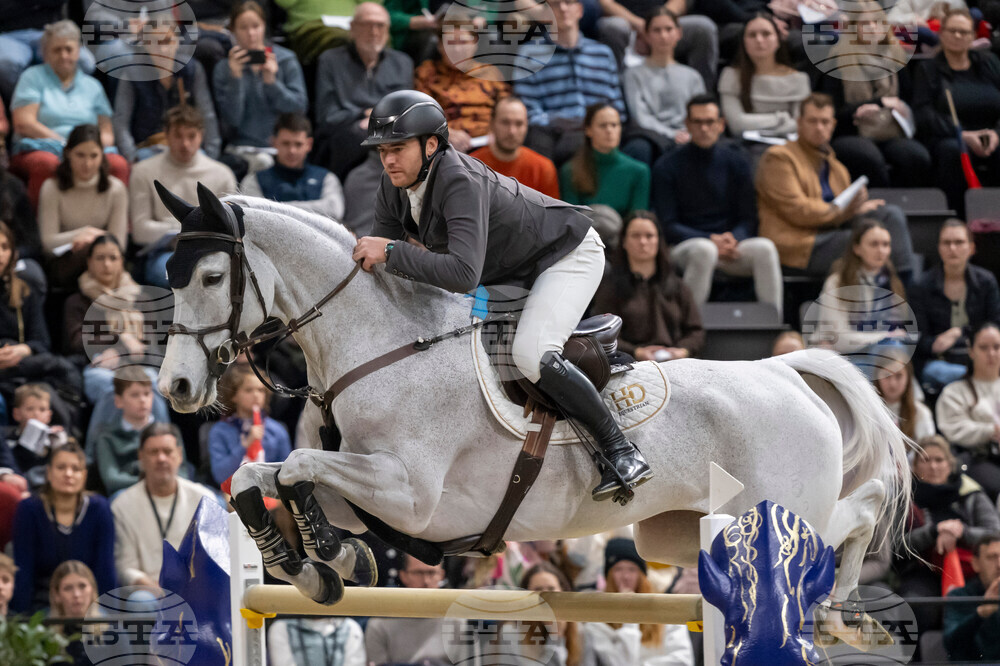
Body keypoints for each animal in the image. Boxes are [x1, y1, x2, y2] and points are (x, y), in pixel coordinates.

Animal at [154, 184, 910, 648]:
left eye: (212, 278)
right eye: (168, 277)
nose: (178, 387)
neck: (380, 346)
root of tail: (782, 373)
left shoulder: (411, 495)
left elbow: (298, 468)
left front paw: (329, 559)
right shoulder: (367, 494)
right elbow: (259, 476)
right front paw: (313, 565)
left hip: (774, 512)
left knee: (858, 509)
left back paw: (843, 600)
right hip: (675, 536)